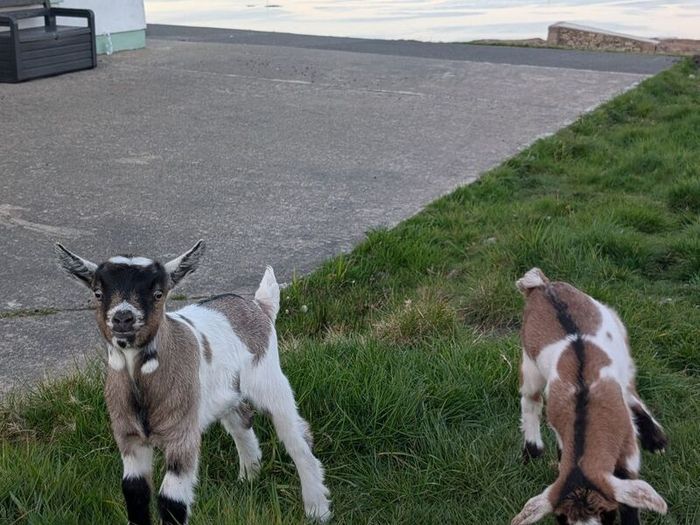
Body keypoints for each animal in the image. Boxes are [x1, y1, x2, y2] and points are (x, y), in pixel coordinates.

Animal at [55, 240, 331, 524]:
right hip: (225, 393)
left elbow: (171, 500)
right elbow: (134, 492)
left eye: (158, 294)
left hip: (269, 379)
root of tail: (258, 306)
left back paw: (317, 509)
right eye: (98, 293)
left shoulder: (183, 434)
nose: (123, 318)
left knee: (296, 436)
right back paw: (249, 477)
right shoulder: (128, 436)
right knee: (242, 420)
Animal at [513, 268, 668, 525]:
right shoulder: (561, 429)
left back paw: (656, 440)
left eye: (606, 513)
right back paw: (532, 449)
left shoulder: (627, 445)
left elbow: (628, 485)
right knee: (530, 400)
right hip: (529, 359)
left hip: (620, 342)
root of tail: (543, 286)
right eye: (561, 519)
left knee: (630, 390)